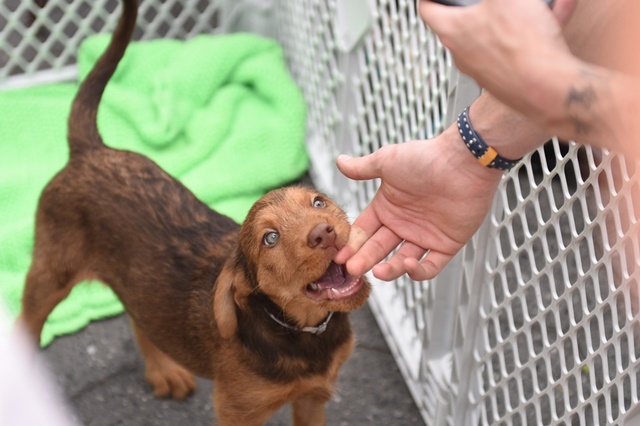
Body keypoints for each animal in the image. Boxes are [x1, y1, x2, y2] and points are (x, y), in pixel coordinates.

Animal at [18, 0, 370, 426]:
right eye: (269, 238)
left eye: (318, 202)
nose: (324, 232)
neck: (301, 331)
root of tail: (89, 149)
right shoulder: (237, 410)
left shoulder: (313, 398)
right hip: (49, 273)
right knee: (26, 324)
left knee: (139, 316)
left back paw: (163, 370)